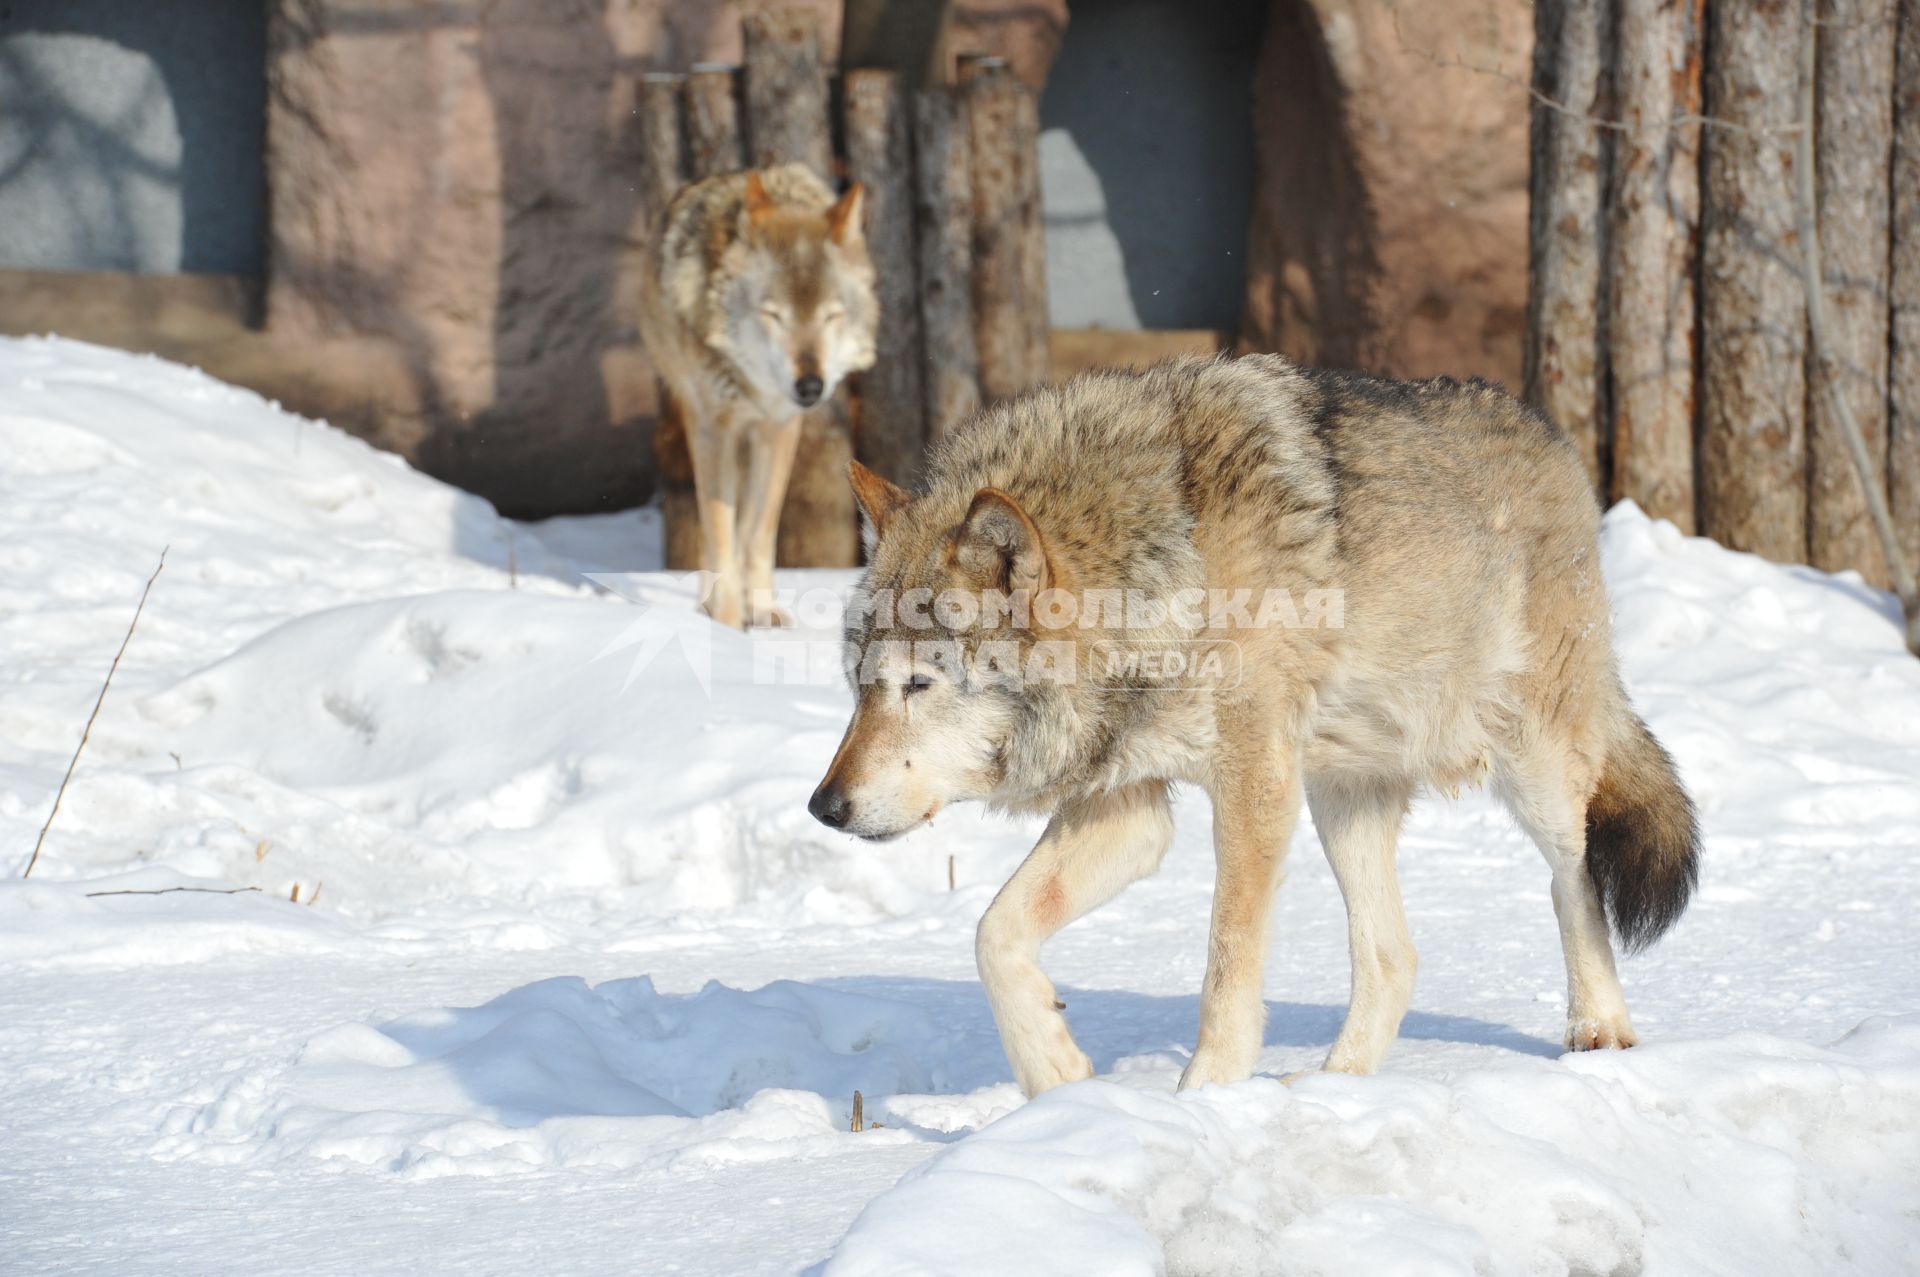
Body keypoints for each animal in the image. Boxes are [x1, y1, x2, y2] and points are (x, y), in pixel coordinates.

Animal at [637, 167, 879, 626]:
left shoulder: (779, 428)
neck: (753, 387)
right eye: (773, 315)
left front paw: (761, 609)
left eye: (831, 315)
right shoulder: (715, 429)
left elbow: (759, 531)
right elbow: (720, 532)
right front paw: (728, 622)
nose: (810, 386)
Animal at [806, 355, 1697, 1098]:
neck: (1165, 558)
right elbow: (993, 934)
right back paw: (1334, 1089)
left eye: (919, 684)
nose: (824, 807)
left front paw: (1203, 1100)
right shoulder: (1129, 807)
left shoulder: (1254, 786)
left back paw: (1600, 1027)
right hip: (1344, 798)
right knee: (1394, 956)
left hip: (1531, 766)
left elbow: (1226, 964)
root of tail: (1553, 437)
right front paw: (1058, 1080)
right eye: (860, 685)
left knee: (1574, 876)